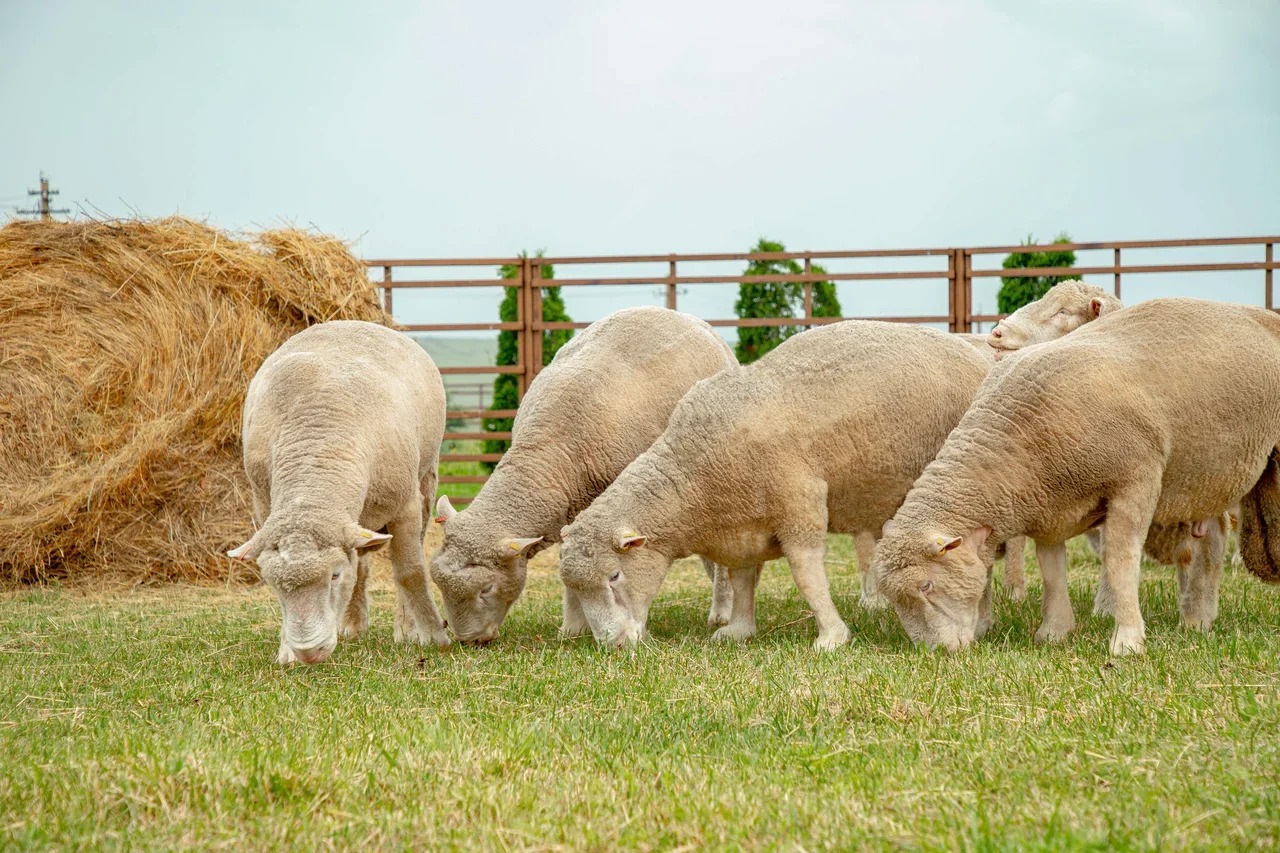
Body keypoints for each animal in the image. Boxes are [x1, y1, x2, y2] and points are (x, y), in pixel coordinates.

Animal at [230, 318, 450, 666]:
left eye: (334, 576)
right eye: (274, 585)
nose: (309, 652)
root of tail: (351, 321)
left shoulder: (406, 505)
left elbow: (410, 572)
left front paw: (431, 634)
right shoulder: (264, 505)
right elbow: (357, 568)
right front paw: (287, 650)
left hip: (426, 477)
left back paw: (405, 626)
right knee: (360, 565)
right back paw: (353, 624)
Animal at [427, 308, 737, 640]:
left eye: (486, 588)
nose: (469, 640)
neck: (551, 449)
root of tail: (682, 316)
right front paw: (574, 627)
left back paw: (721, 612)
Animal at [558, 315, 988, 648]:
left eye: (614, 576)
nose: (612, 645)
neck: (693, 475)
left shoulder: (800, 505)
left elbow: (807, 577)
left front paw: (832, 637)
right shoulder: (742, 526)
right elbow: (742, 579)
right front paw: (739, 629)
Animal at [875, 295, 1280, 653]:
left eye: (926, 587)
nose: (938, 652)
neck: (1016, 446)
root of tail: (1262, 314)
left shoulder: (1136, 480)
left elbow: (1120, 560)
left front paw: (1127, 640)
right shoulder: (1051, 506)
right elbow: (1052, 571)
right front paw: (1054, 631)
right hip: (1206, 473)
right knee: (1210, 540)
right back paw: (1198, 618)